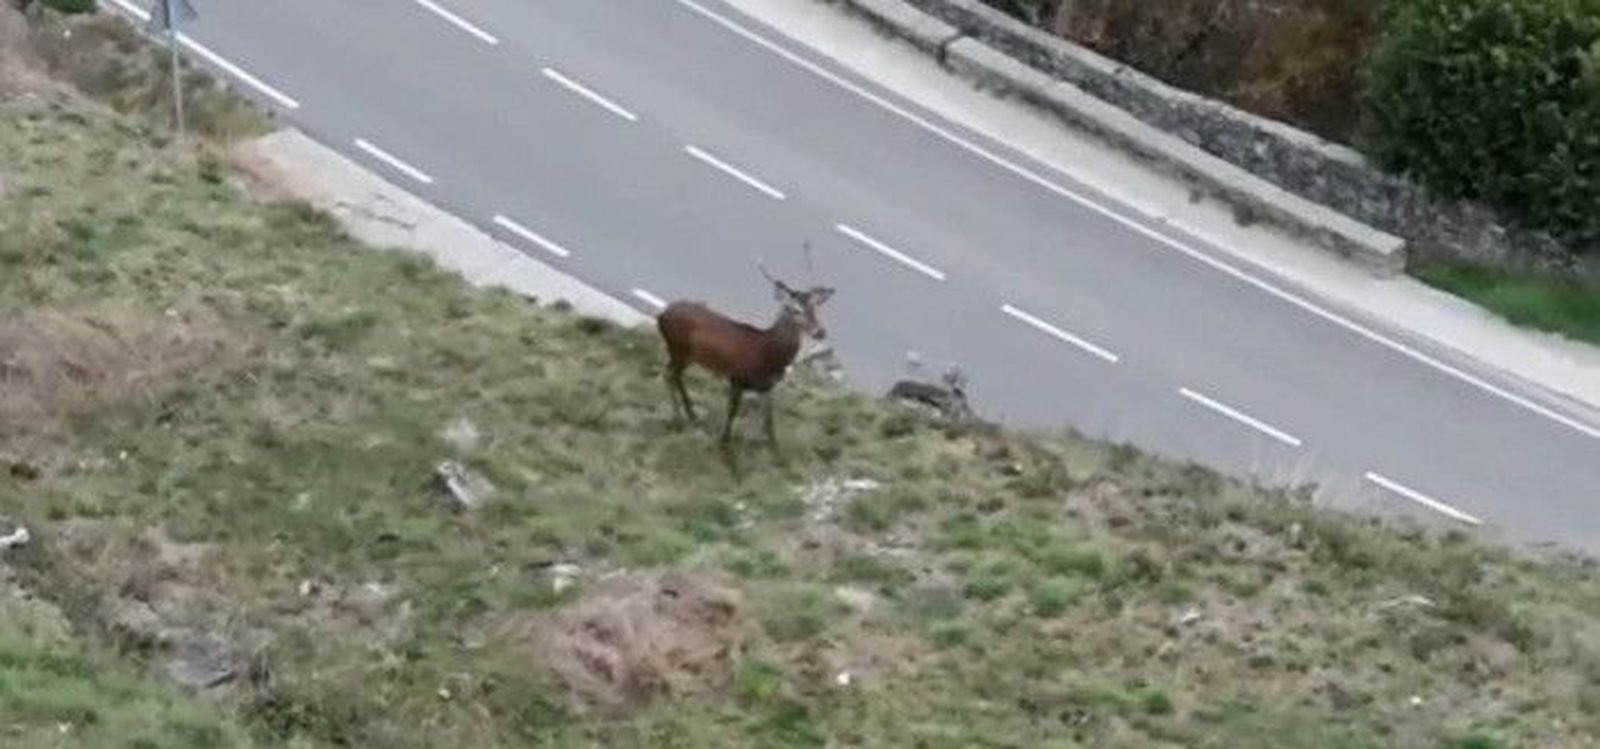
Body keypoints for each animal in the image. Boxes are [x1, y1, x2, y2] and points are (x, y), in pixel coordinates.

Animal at [655, 263, 835, 452]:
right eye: (795, 310)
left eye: (815, 309)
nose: (820, 332)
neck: (768, 353)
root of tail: (662, 315)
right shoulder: (737, 377)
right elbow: (732, 412)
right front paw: (724, 443)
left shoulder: (767, 386)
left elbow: (769, 421)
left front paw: (775, 451)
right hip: (678, 348)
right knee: (668, 374)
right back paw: (679, 419)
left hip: (684, 354)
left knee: (675, 375)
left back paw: (692, 414)